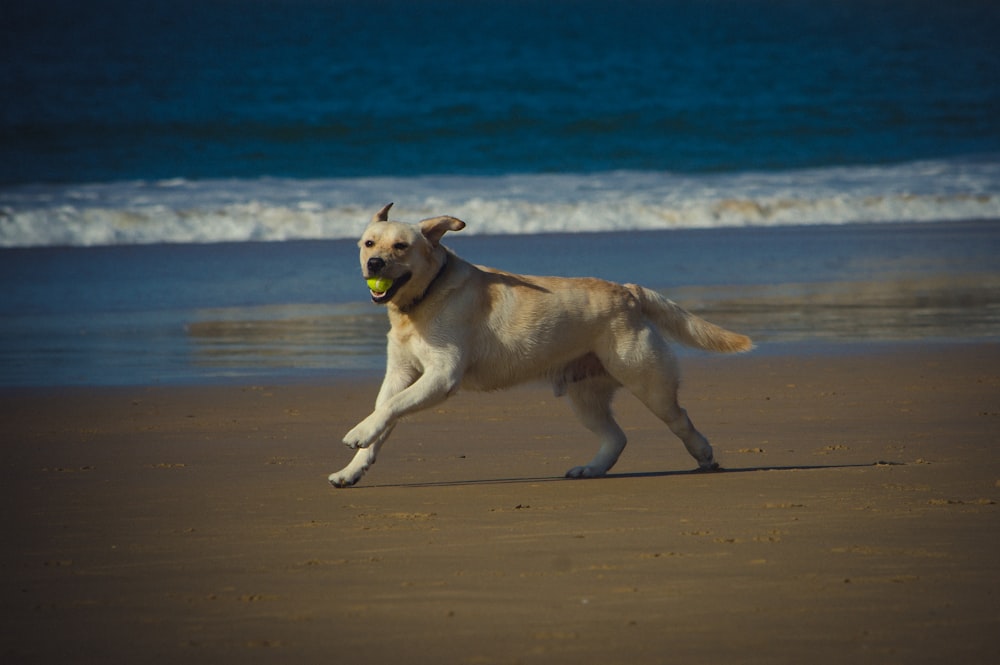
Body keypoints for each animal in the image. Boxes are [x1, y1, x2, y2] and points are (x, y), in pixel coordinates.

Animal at [328, 204, 752, 488]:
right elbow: (385, 413)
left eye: (401, 246)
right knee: (617, 437)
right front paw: (352, 468)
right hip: (585, 398)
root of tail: (629, 291)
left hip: (649, 383)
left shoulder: (442, 375)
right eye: (368, 243)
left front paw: (358, 433)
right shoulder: (401, 374)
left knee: (681, 420)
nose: (375, 264)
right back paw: (591, 469)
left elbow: (389, 410)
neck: (424, 299)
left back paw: (704, 455)